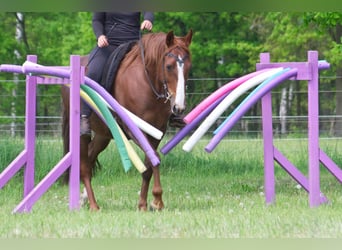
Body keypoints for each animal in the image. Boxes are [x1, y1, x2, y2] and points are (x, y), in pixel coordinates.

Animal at [61, 29, 192, 211]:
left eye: (188, 67)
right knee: (85, 166)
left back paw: (84, 199)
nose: (179, 107)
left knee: (91, 154)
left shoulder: (157, 133)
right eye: (169, 66)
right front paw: (157, 200)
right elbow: (154, 159)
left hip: (103, 135)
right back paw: (94, 205)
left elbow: (149, 165)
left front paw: (143, 204)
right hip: (81, 133)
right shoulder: (133, 131)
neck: (146, 84)